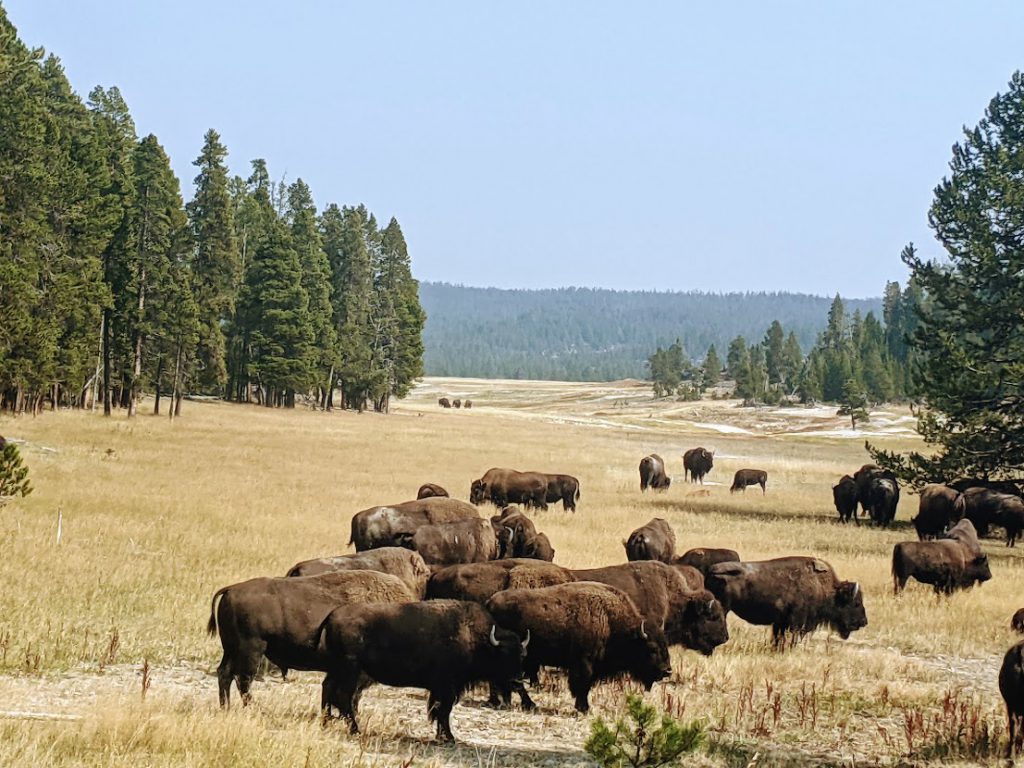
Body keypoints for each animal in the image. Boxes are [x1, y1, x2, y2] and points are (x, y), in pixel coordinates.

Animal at [207, 570, 414, 707]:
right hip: (251, 650)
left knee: (225, 674)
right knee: (243, 679)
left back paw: (226, 708)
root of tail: (232, 589)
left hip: (231, 650)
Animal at [318, 600, 528, 742]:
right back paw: (355, 730)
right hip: (350, 670)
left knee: (328, 689)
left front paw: (442, 736)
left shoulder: (442, 688)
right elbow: (443, 711)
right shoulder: (447, 687)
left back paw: (326, 722)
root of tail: (331, 616)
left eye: (521, 655)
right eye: (504, 655)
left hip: (338, 670)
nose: (518, 679)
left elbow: (439, 710)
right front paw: (449, 737)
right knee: (343, 697)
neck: (476, 637)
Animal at [486, 582, 672, 712]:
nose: (667, 671)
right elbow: (582, 685)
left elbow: (586, 686)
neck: (611, 621)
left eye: (665, 644)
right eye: (652, 648)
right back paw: (522, 703)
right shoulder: (584, 663)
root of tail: (490, 602)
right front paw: (584, 708)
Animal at [706, 556, 867, 647]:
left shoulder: (780, 623)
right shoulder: (796, 622)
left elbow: (779, 638)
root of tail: (712, 570)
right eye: (856, 603)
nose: (864, 622)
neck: (821, 586)